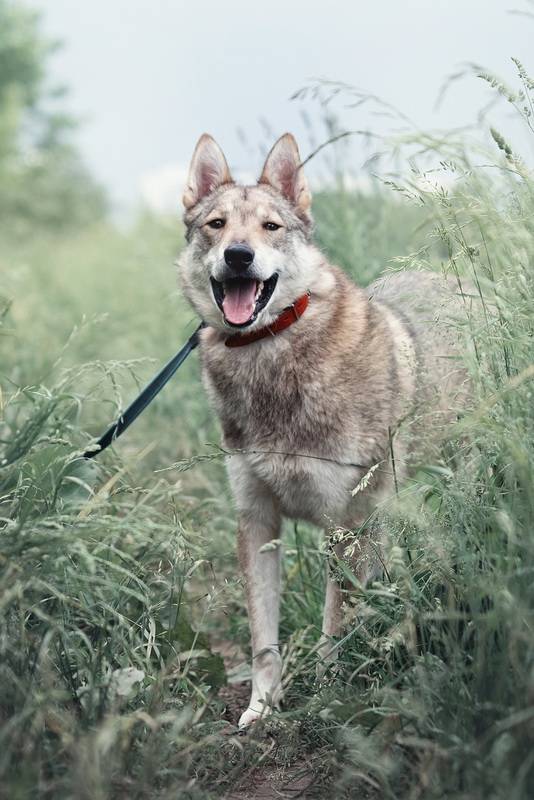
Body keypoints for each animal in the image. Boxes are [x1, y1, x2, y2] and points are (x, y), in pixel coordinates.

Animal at [179, 134, 468, 728]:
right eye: (217, 224)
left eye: (270, 227)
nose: (237, 255)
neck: (269, 356)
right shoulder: (258, 522)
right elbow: (263, 640)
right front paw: (262, 708)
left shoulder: (347, 528)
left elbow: (333, 627)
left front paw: (331, 697)